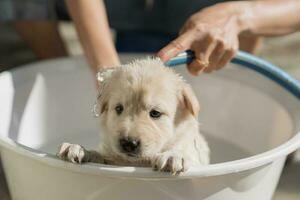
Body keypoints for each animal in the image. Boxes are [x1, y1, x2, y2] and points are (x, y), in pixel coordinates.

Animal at [57, 58, 210, 175]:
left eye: (155, 113)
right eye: (119, 108)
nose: (129, 143)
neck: (139, 162)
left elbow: (186, 154)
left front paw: (172, 156)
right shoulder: (111, 157)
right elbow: (101, 156)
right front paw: (79, 149)